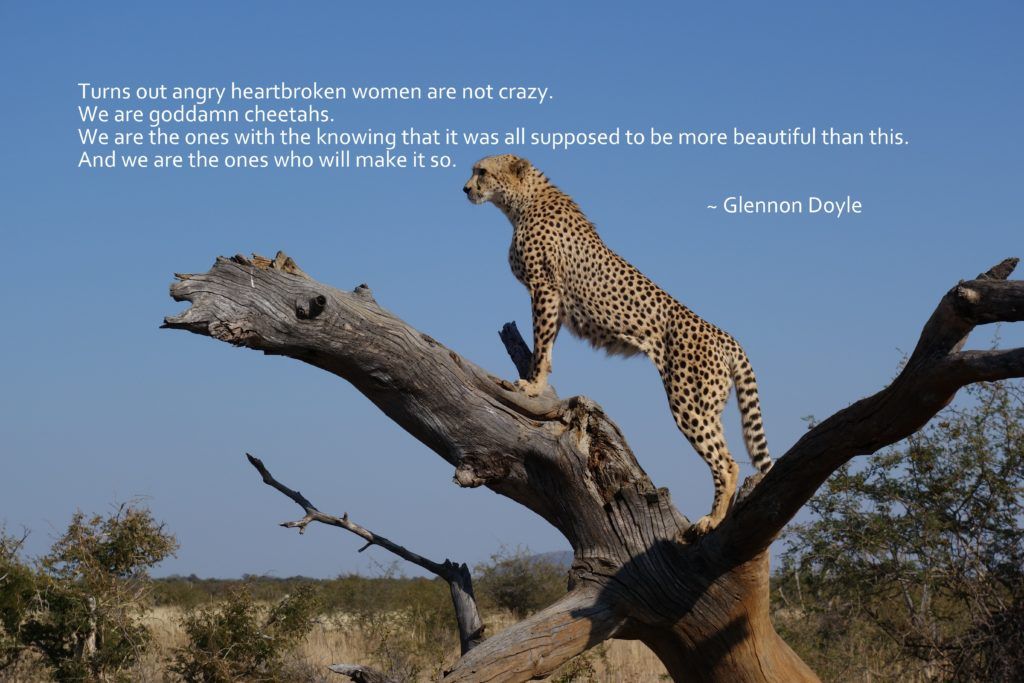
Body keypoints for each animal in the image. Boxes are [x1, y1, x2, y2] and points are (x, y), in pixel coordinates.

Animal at [463, 154, 772, 535]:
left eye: (482, 172)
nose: (466, 188)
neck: (522, 202)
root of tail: (724, 335)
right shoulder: (555, 299)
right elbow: (547, 346)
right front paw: (538, 380)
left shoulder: (545, 289)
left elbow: (542, 343)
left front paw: (532, 385)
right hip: (710, 404)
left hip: (689, 401)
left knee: (727, 462)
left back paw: (711, 520)